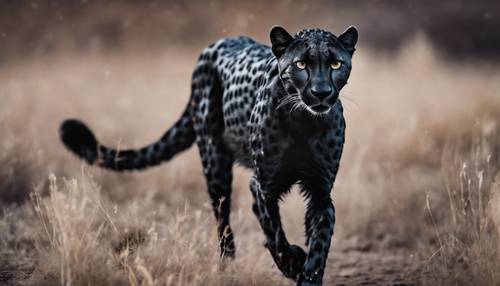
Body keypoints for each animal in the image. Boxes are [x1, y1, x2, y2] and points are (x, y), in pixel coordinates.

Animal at [60, 25, 358, 284]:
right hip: (215, 166)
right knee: (223, 224)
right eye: (301, 65)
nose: (321, 93)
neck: (304, 121)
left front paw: (307, 272)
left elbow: (320, 243)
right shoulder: (262, 185)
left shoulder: (320, 191)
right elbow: (274, 233)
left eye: (335, 64)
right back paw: (228, 267)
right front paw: (293, 261)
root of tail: (216, 44)